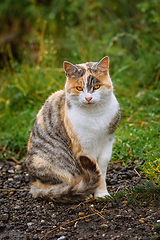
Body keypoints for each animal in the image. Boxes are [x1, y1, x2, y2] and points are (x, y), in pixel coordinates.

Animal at [25, 56, 120, 201]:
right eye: (79, 88)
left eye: (96, 86)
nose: (88, 98)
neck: (95, 115)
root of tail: (33, 184)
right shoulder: (83, 148)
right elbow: (96, 171)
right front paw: (99, 193)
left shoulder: (107, 143)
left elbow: (101, 170)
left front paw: (102, 193)